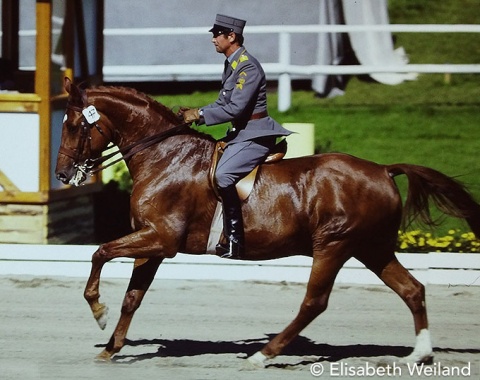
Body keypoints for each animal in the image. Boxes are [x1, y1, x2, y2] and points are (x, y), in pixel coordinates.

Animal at [55, 78, 480, 366]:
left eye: (73, 125)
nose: (61, 174)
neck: (164, 155)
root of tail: (383, 170)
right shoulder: (153, 242)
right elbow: (133, 296)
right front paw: (111, 348)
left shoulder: (161, 239)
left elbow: (100, 252)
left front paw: (98, 312)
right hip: (371, 248)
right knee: (412, 290)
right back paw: (419, 355)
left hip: (334, 245)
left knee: (314, 301)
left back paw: (264, 354)